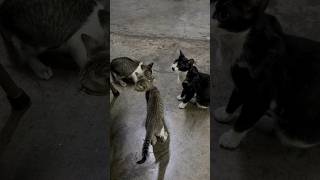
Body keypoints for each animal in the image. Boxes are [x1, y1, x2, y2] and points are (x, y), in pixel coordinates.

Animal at [212, 0, 320, 149]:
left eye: (224, 15)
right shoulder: (242, 81)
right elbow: (235, 98)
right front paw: (225, 114)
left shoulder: (262, 93)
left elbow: (245, 119)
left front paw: (230, 139)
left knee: (288, 134)